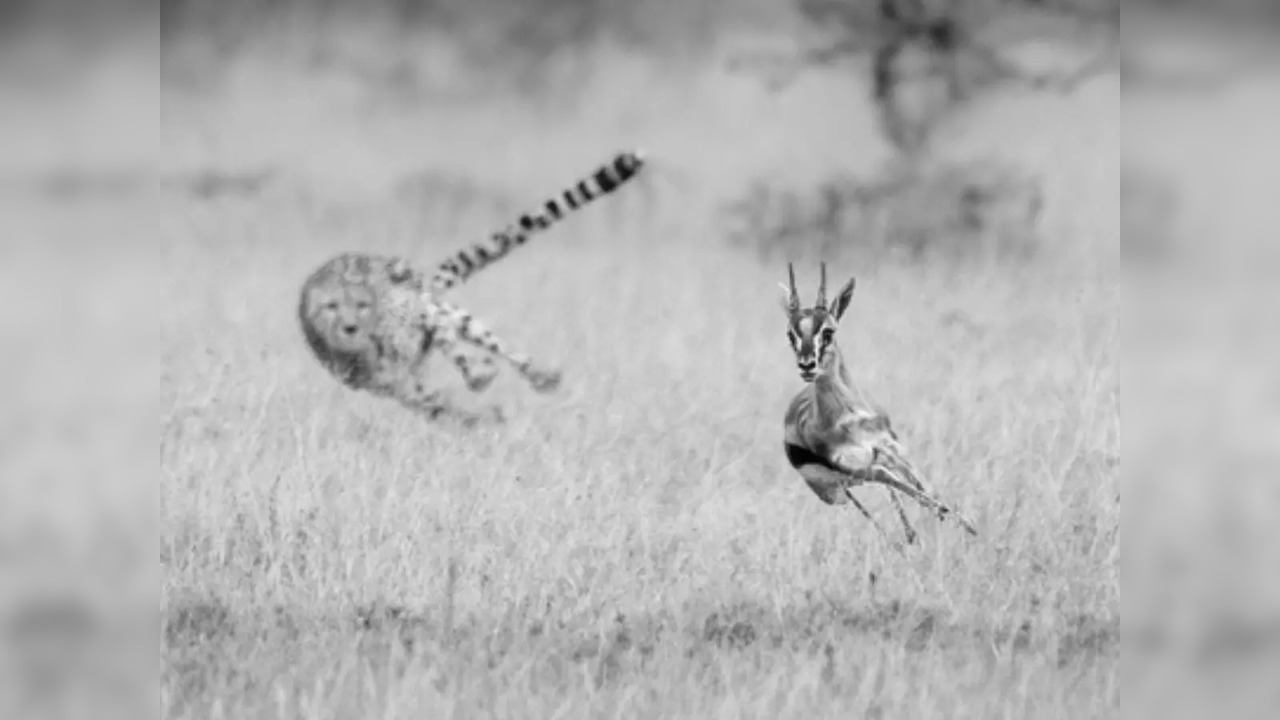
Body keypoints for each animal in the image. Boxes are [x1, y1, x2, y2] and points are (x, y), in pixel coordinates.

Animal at [295, 151, 645, 420]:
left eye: (362, 305)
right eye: (331, 307)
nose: (350, 327)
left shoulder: (423, 318)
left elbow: (452, 350)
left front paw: (481, 376)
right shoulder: (393, 385)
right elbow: (437, 403)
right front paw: (481, 414)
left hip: (448, 314)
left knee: (488, 344)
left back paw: (535, 375)